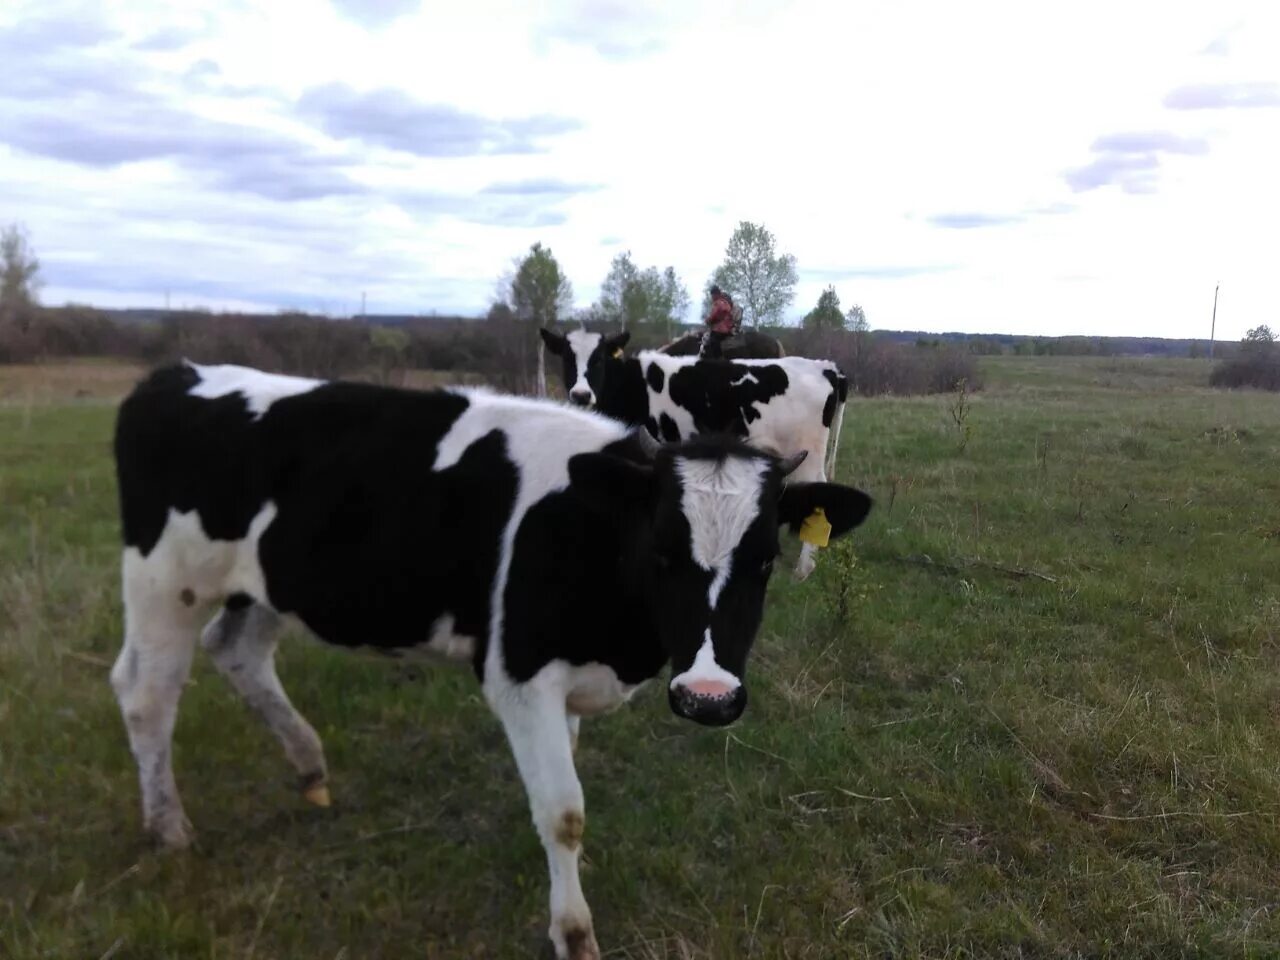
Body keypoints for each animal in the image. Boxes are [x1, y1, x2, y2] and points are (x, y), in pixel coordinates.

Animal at [110, 363, 870, 960]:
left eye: (764, 559)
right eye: (660, 551)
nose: (707, 694)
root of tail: (173, 375)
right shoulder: (519, 674)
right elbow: (563, 811)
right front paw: (574, 935)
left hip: (267, 581)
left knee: (236, 651)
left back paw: (308, 765)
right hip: (163, 581)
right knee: (145, 693)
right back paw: (169, 827)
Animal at [540, 330, 849, 578]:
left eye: (599, 359)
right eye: (567, 358)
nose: (581, 395)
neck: (631, 384)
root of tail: (825, 367)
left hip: (808, 455)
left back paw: (804, 568)